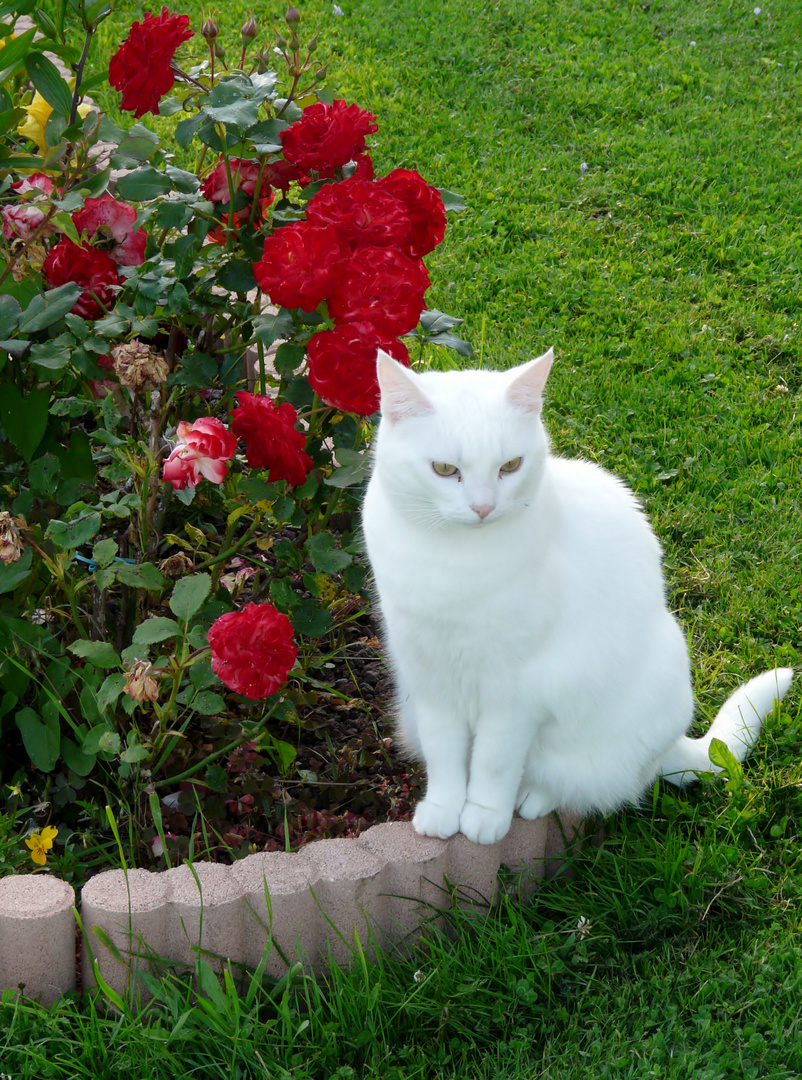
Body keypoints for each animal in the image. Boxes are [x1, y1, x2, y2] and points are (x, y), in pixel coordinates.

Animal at [364, 345, 798, 842]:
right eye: (444, 470)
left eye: (510, 466)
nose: (483, 507)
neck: (454, 564)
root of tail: (672, 745)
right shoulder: (430, 679)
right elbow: (444, 755)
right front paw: (444, 808)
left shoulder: (515, 694)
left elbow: (494, 762)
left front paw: (484, 815)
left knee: (588, 784)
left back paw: (530, 799)